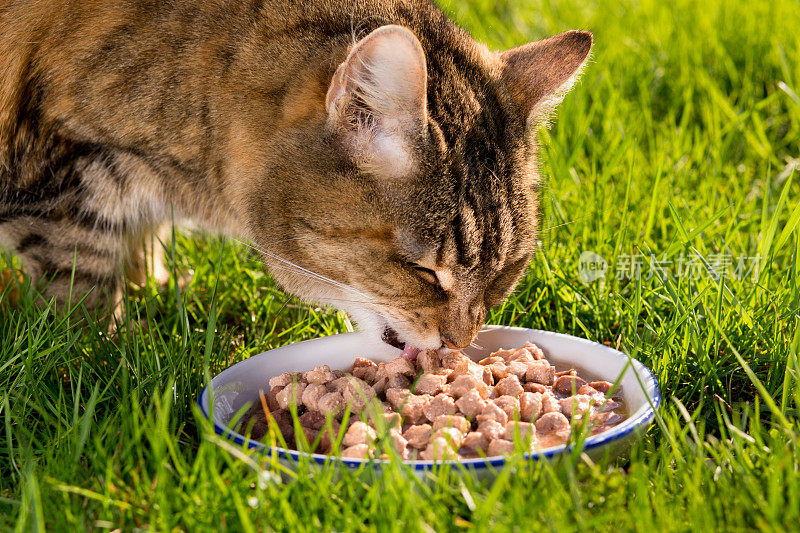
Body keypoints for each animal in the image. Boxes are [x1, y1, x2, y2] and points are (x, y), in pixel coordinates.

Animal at [0, 1, 588, 354]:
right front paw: (107, 349)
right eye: (424, 272)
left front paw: (155, 287)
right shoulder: (63, 174)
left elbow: (141, 240)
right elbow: (84, 280)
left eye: (505, 272)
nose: (461, 343)